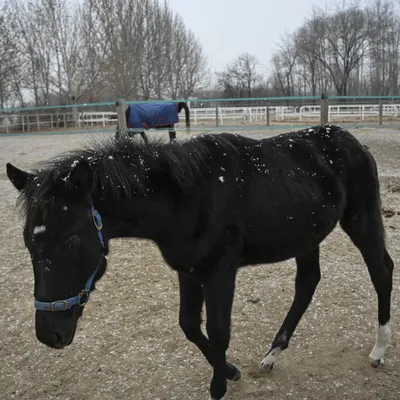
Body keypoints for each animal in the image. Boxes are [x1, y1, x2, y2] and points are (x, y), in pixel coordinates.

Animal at [6, 125, 394, 400]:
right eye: (28, 241)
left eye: (72, 240)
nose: (50, 335)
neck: (187, 198)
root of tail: (352, 141)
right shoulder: (189, 271)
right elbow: (190, 325)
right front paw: (231, 372)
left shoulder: (221, 271)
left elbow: (219, 331)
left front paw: (219, 386)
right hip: (306, 236)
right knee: (307, 284)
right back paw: (272, 356)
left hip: (361, 220)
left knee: (381, 270)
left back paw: (378, 350)